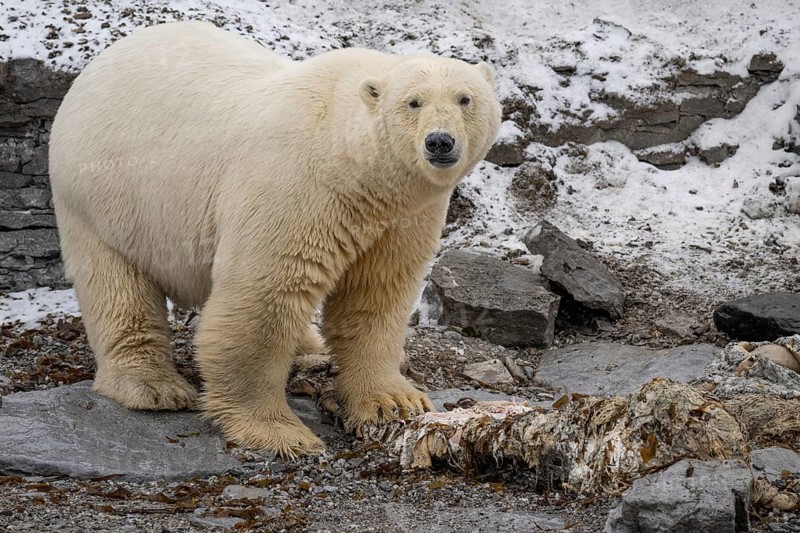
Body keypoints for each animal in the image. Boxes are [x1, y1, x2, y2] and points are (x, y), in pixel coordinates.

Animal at [49, 21, 501, 457]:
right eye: (413, 102)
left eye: (465, 99)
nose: (439, 141)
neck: (352, 165)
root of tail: (95, 67)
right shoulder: (297, 185)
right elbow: (266, 296)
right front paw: (279, 432)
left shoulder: (400, 217)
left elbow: (375, 295)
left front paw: (393, 401)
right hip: (104, 197)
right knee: (115, 286)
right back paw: (153, 387)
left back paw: (308, 345)